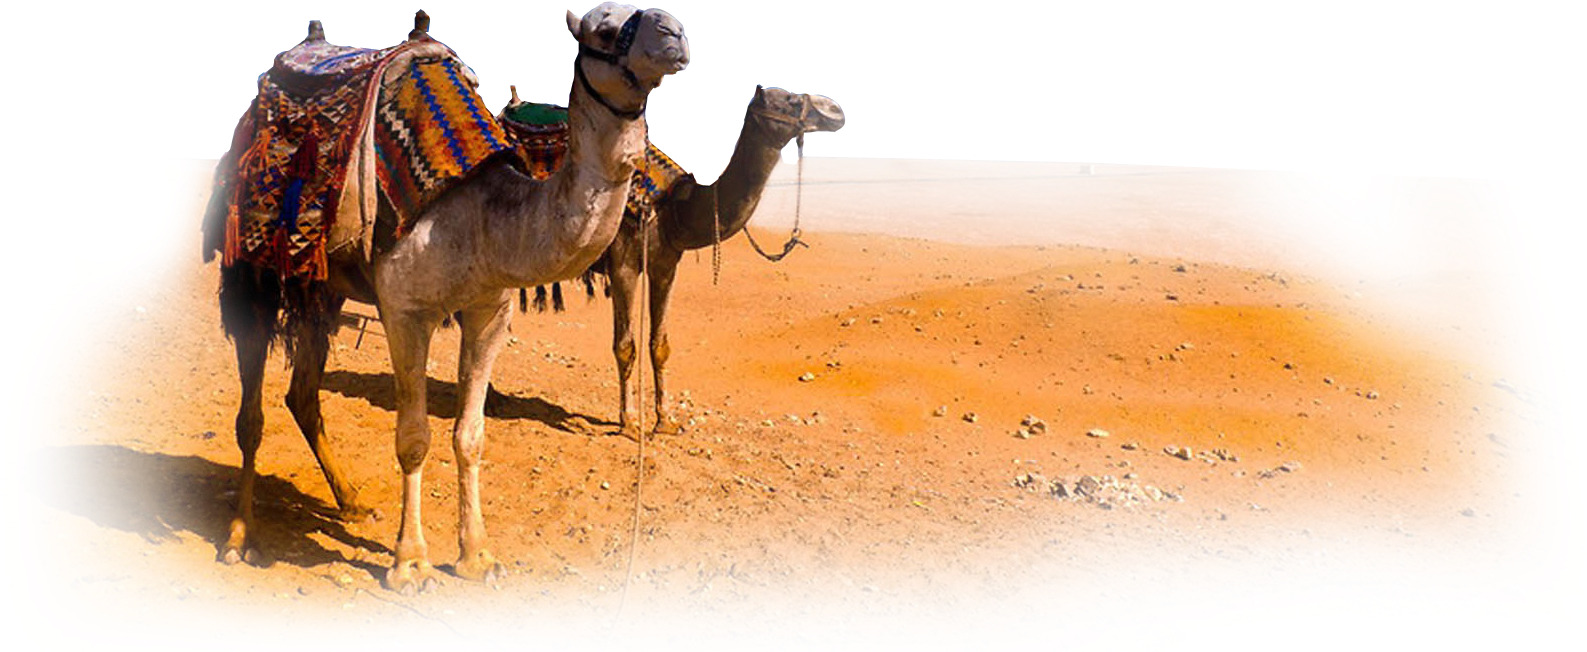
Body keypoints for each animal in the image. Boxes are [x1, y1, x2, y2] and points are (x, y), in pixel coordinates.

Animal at [207, 4, 689, 595]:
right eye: (604, 28)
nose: (674, 34)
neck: (483, 218)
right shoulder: (404, 311)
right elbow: (414, 438)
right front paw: (410, 563)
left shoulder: (489, 310)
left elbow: (471, 436)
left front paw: (477, 555)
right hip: (251, 265)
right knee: (251, 410)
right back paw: (240, 537)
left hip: (326, 286)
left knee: (302, 394)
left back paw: (351, 502)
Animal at [532, 86, 844, 440]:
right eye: (791, 100)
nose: (836, 111)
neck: (670, 206)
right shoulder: (623, 263)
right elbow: (625, 345)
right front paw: (629, 422)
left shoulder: (665, 264)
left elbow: (660, 345)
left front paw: (665, 420)